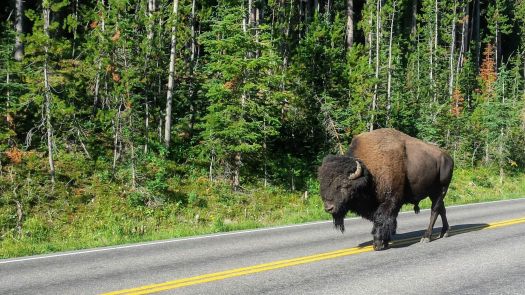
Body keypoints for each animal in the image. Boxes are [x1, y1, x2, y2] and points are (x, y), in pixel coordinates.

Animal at [318, 128, 452, 251]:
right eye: (323, 185)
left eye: (344, 185)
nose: (329, 208)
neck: (369, 172)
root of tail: (448, 157)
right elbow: (384, 221)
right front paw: (385, 242)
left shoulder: (390, 201)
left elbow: (382, 220)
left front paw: (378, 244)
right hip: (434, 193)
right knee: (442, 209)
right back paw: (444, 232)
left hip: (441, 189)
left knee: (434, 211)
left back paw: (426, 237)